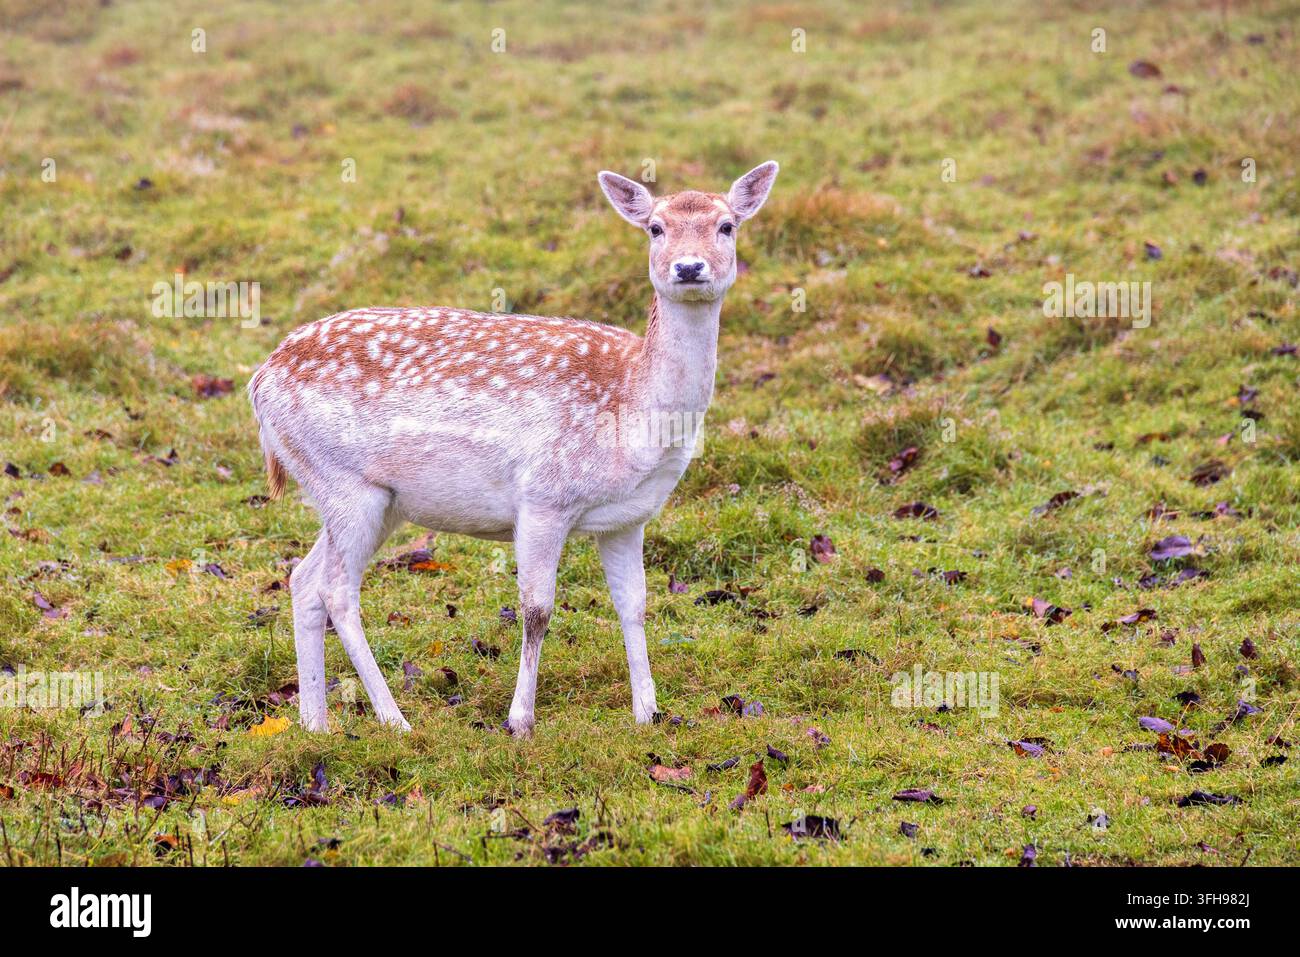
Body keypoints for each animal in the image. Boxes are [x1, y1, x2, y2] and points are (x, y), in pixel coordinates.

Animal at [247, 161, 779, 737]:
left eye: (727, 226)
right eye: (655, 228)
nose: (688, 267)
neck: (635, 408)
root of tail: (260, 381)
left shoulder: (628, 517)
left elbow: (634, 605)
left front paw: (648, 713)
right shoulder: (543, 498)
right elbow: (537, 610)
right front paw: (520, 720)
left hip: (374, 499)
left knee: (303, 579)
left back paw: (314, 725)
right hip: (344, 483)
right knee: (337, 590)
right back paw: (394, 720)